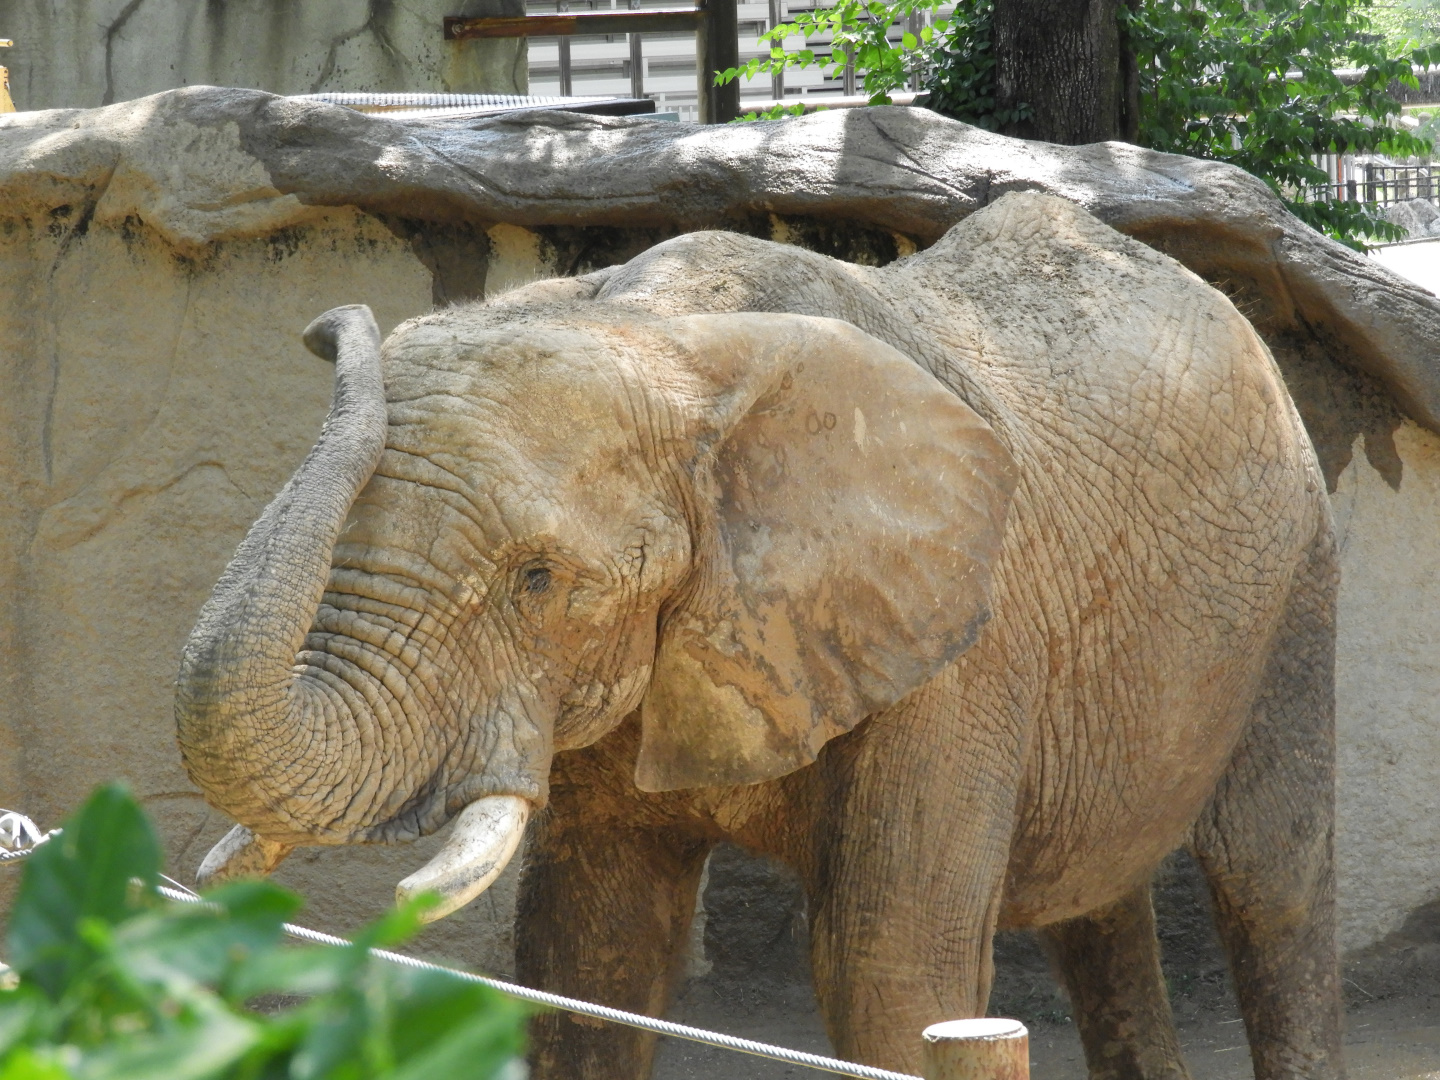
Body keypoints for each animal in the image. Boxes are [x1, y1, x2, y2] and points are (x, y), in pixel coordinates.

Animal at [175, 191, 1342, 1080]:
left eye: (538, 579)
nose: (330, 325)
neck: (659, 335)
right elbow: (587, 952)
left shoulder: (959, 651)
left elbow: (890, 970)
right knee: (1097, 906)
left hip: (1302, 574)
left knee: (1271, 884)